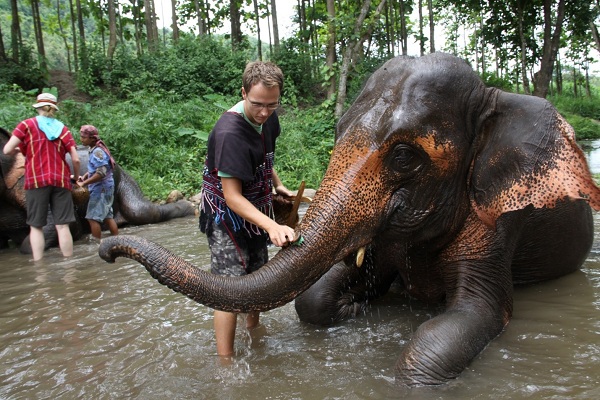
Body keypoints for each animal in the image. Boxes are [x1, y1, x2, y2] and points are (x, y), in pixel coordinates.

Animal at [97, 53, 600, 388]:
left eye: (403, 155)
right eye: (337, 133)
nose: (106, 251)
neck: (493, 99)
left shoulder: (498, 216)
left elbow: (474, 315)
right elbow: (313, 298)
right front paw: (357, 306)